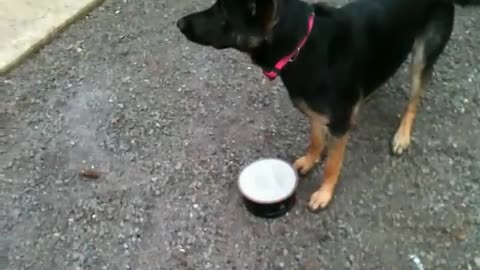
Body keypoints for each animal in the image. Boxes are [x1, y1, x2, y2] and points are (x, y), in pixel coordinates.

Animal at [177, 0, 480, 210]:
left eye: (222, 13)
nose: (179, 23)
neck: (301, 45)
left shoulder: (339, 124)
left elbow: (333, 162)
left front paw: (325, 192)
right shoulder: (315, 113)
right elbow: (315, 139)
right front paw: (311, 159)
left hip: (422, 55)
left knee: (414, 100)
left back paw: (402, 136)